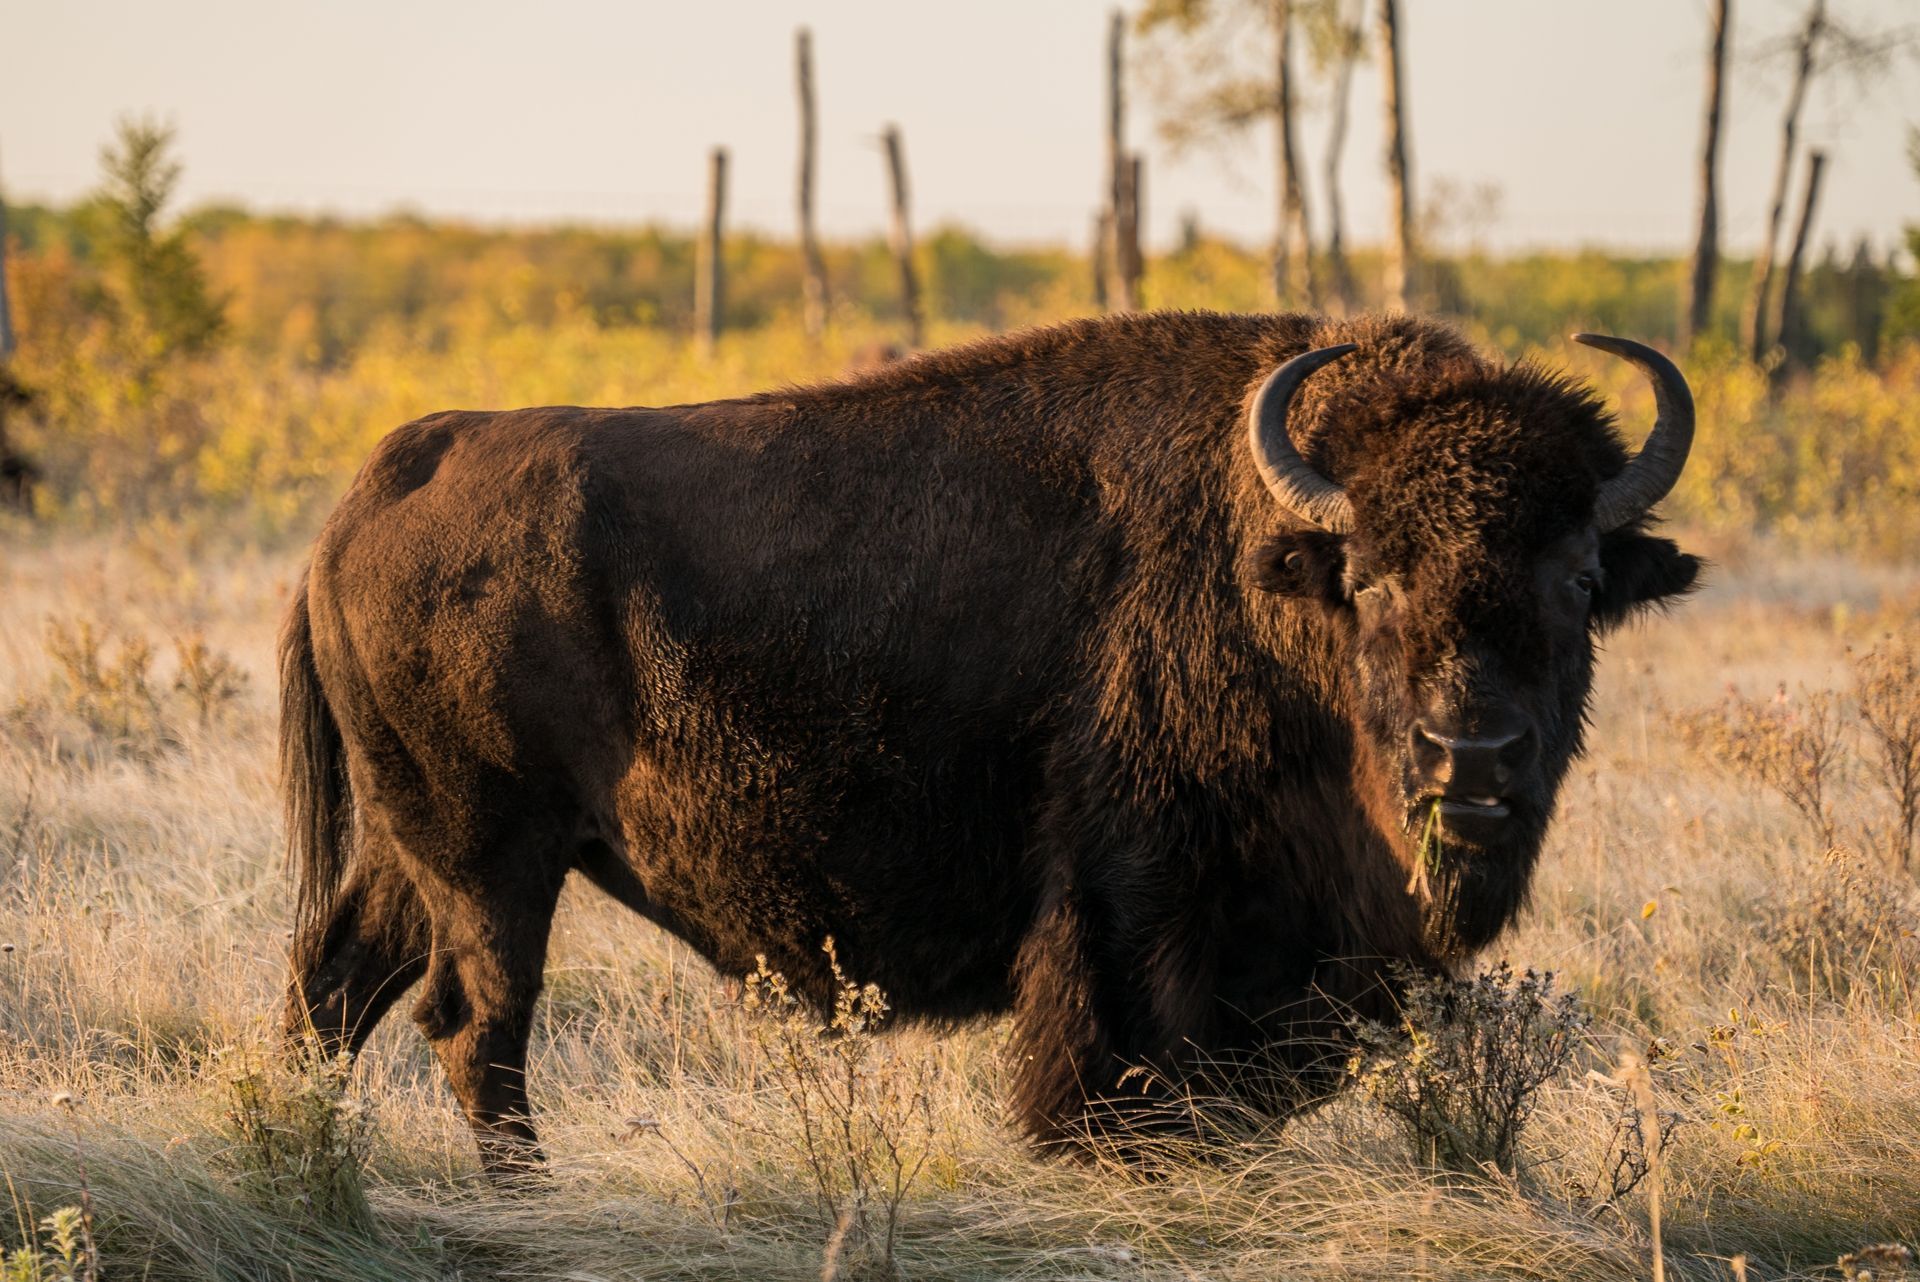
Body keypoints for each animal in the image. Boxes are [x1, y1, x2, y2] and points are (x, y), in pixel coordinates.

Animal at [281, 311, 1700, 1175]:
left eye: (1581, 581)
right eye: (1370, 578)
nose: (1474, 760)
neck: (1265, 570)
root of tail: (391, 475)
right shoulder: (1136, 912)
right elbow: (1118, 1078)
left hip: (418, 854)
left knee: (336, 985)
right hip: (491, 861)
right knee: (474, 1025)